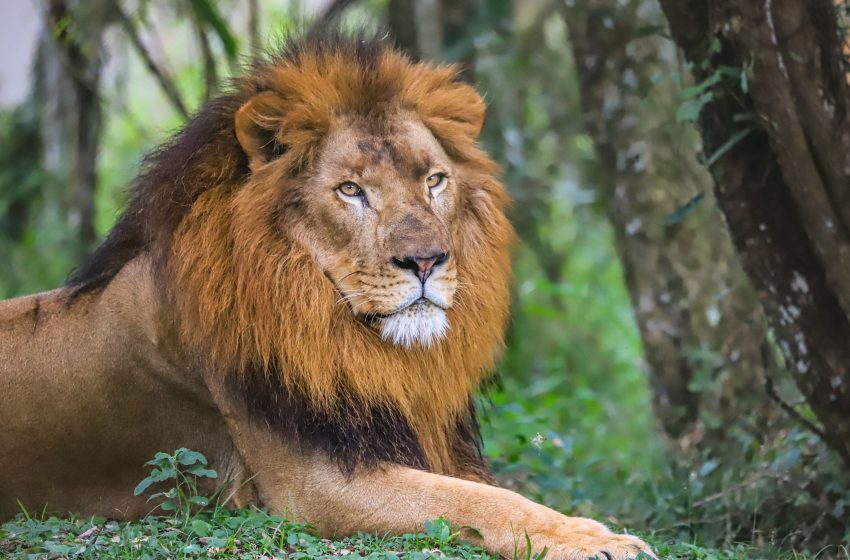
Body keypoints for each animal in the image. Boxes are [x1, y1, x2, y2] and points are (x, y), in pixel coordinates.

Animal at [0, 30, 652, 560]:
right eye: (351, 190)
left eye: (434, 180)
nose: (426, 260)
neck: (332, 323)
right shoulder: (315, 487)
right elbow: (488, 502)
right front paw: (596, 540)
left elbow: (493, 494)